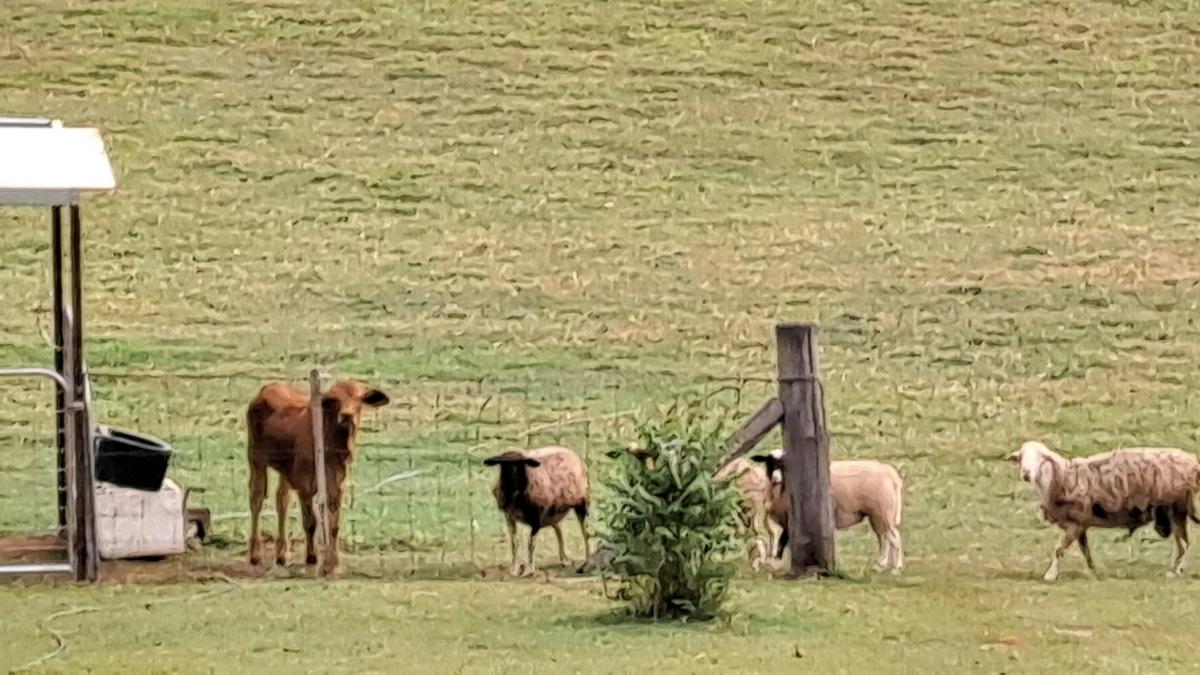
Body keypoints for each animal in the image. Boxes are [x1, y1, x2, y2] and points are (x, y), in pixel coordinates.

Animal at [483, 446, 590, 577]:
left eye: (520, 464)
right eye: (504, 465)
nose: (513, 488)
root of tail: (572, 453)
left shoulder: (537, 518)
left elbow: (530, 544)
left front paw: (529, 570)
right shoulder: (509, 516)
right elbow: (514, 542)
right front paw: (514, 569)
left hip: (581, 504)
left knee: (585, 532)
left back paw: (586, 563)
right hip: (553, 512)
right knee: (558, 528)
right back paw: (564, 559)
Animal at [750, 449, 904, 574]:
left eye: (785, 465)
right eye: (769, 462)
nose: (776, 479)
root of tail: (893, 476)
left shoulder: (791, 517)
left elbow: (782, 540)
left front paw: (775, 562)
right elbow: (775, 539)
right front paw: (771, 560)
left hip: (883, 510)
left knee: (893, 536)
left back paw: (896, 568)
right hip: (877, 514)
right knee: (884, 537)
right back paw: (880, 565)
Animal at [1008, 440, 1200, 581]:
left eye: (1041, 459)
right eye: (1021, 458)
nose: (1026, 474)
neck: (1060, 478)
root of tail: (1192, 462)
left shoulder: (1075, 522)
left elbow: (1059, 549)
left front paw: (1050, 575)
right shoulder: (1081, 525)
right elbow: (1085, 550)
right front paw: (1093, 571)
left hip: (1176, 508)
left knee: (1185, 544)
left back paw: (1175, 571)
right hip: (1174, 512)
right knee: (1183, 543)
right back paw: (1175, 570)